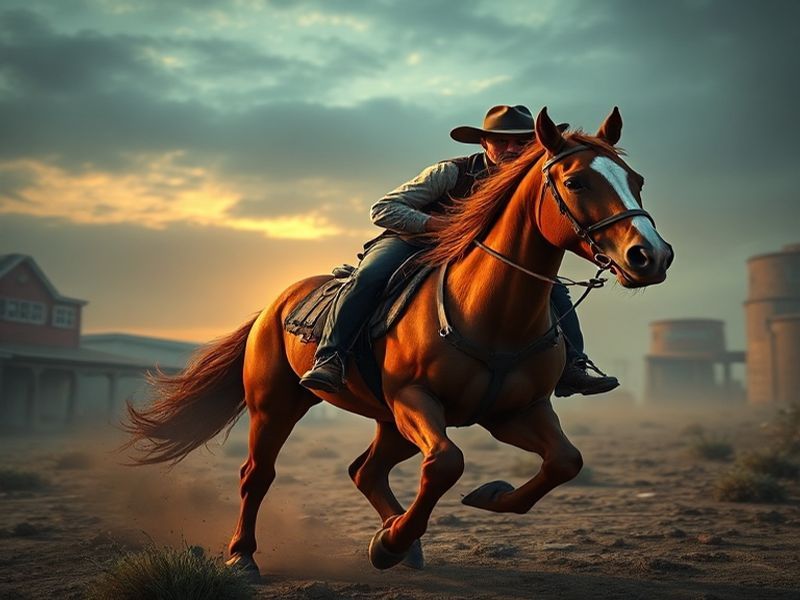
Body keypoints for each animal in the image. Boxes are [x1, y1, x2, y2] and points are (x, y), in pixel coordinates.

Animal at [123, 107, 674, 575]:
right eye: (576, 180)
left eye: (638, 181)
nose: (651, 255)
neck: (490, 311)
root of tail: (276, 305)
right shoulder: (415, 398)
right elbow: (447, 463)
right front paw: (389, 544)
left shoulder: (517, 411)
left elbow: (564, 461)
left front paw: (485, 498)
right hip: (276, 403)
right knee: (257, 474)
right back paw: (244, 557)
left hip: (389, 423)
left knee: (365, 471)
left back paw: (400, 541)